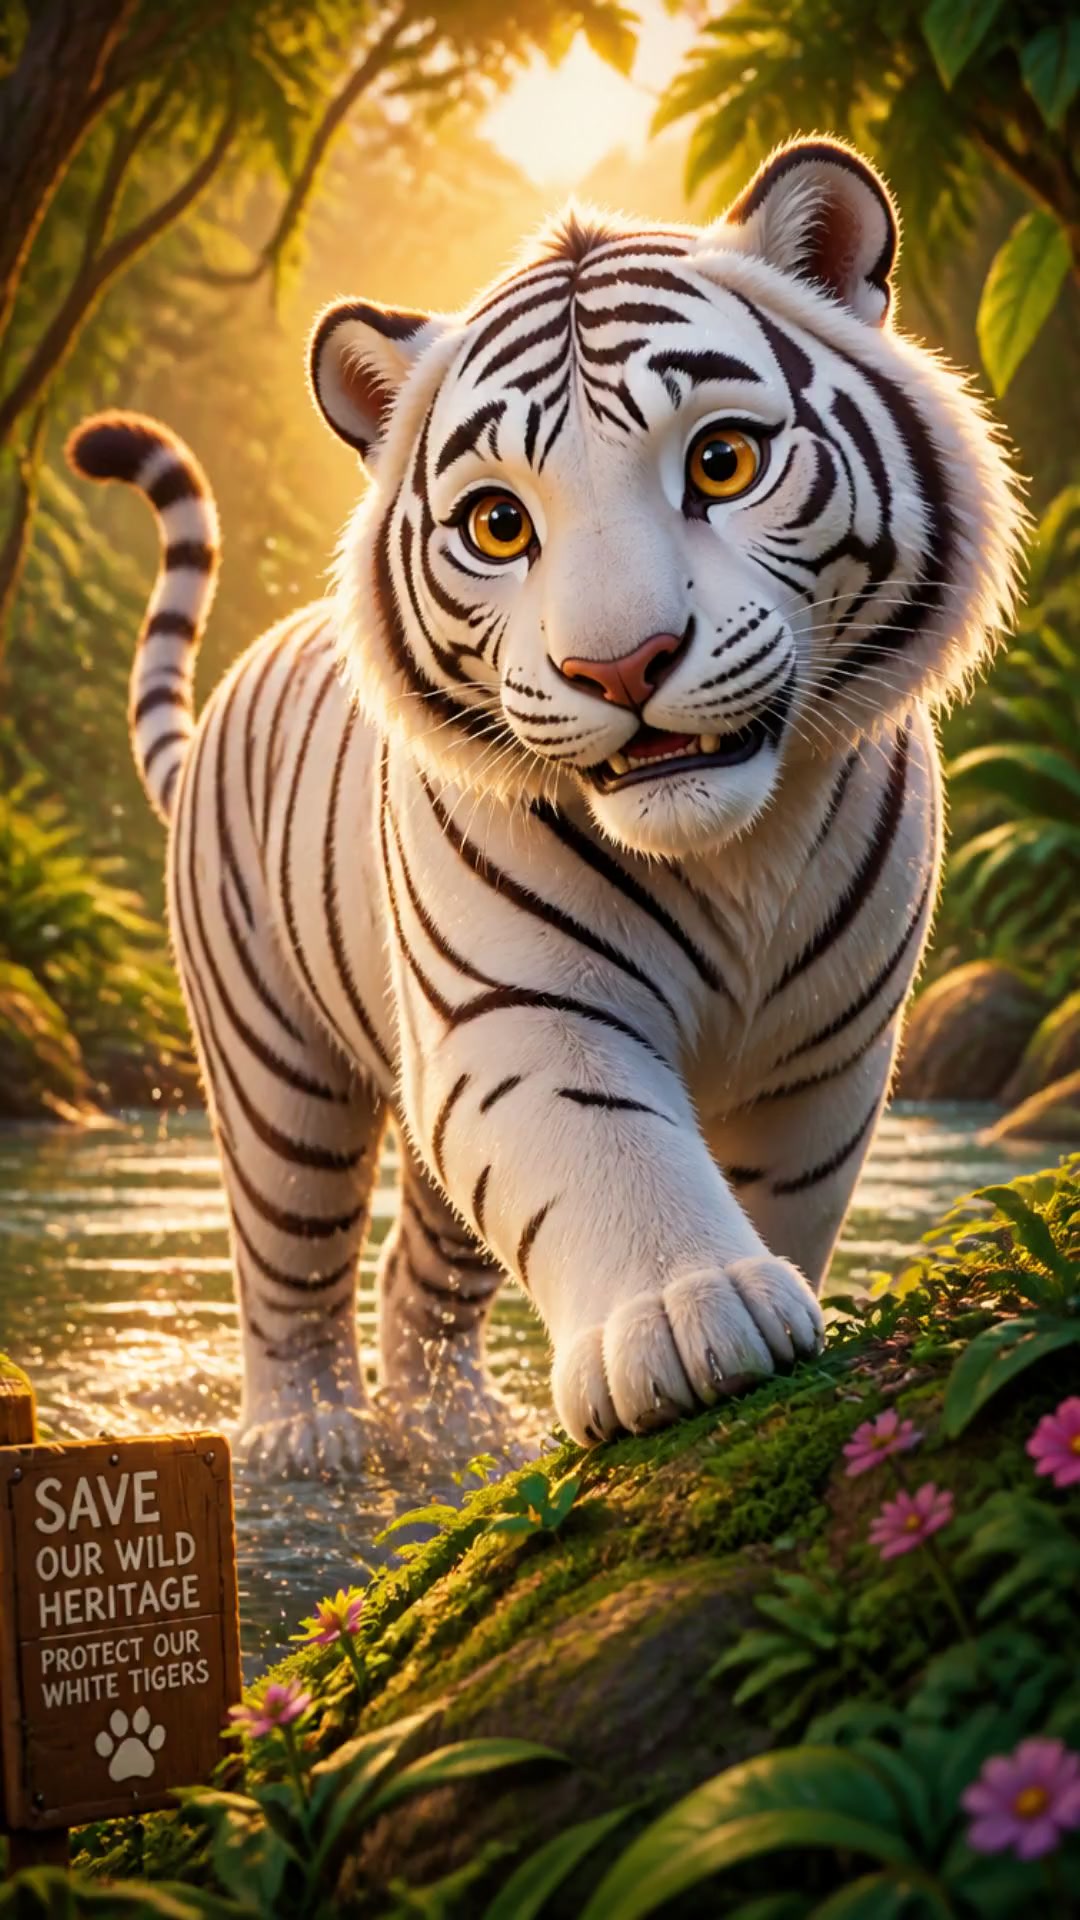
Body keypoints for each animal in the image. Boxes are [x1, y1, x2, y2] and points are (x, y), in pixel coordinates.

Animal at [69, 136, 1022, 1473]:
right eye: (497, 522)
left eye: (722, 461)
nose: (621, 667)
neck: (728, 850)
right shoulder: (514, 1009)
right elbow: (608, 1150)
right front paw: (694, 1318)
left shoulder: (826, 1050)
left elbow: (776, 1189)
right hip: (273, 1064)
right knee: (289, 1261)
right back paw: (307, 1437)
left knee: (423, 1277)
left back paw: (453, 1429)